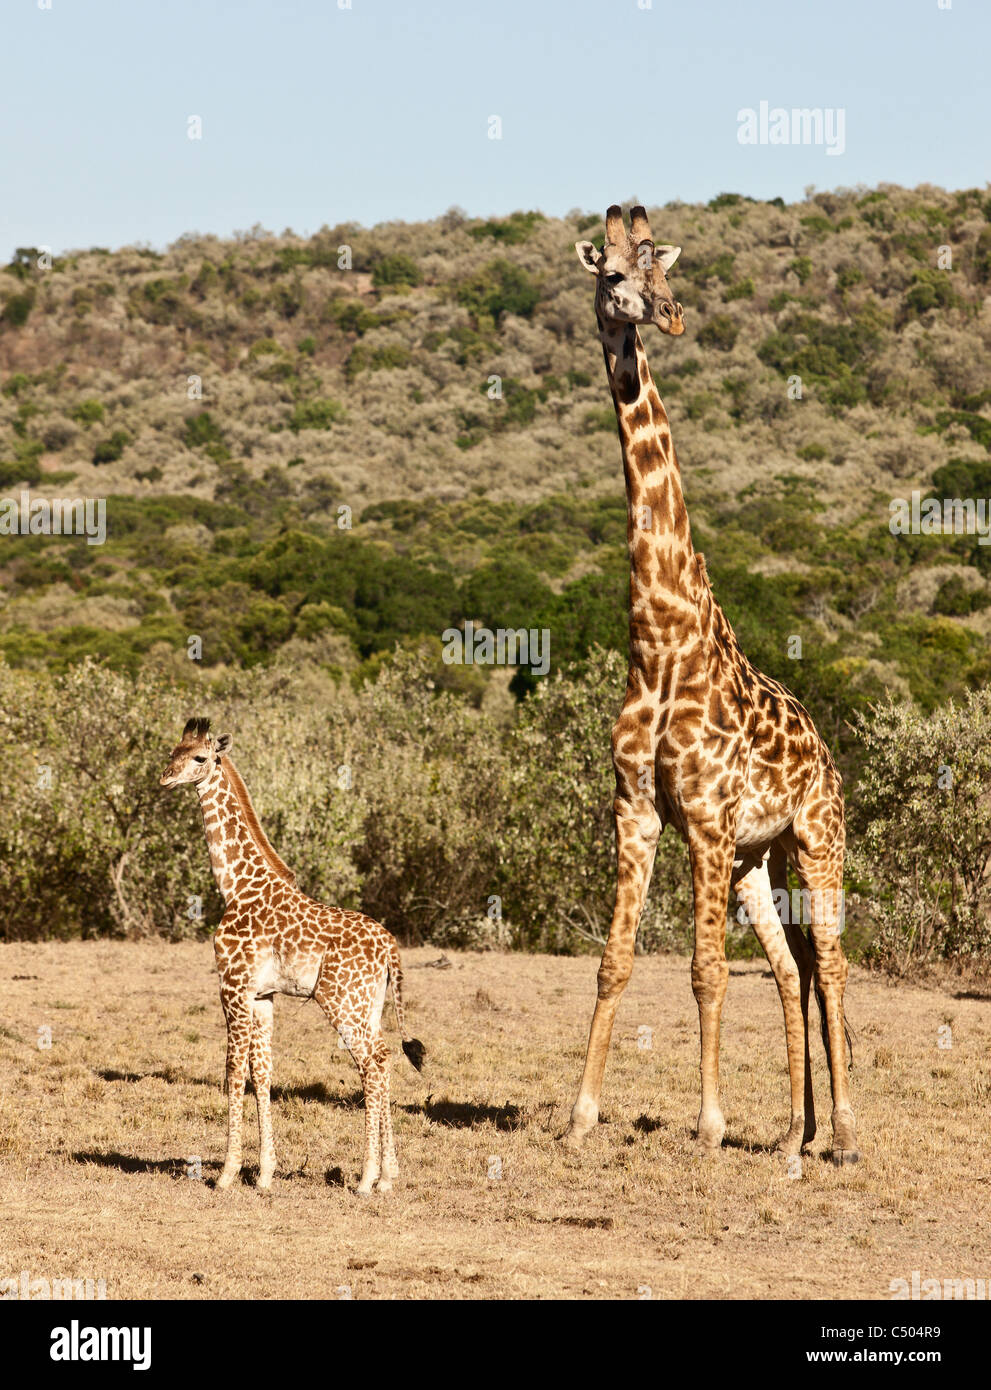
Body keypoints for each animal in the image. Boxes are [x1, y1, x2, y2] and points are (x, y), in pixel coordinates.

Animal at [160, 717, 422, 1195]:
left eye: (200, 757)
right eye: (172, 751)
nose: (165, 778)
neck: (235, 886)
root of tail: (390, 946)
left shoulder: (232, 987)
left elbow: (233, 1072)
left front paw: (226, 1174)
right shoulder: (263, 996)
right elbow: (262, 1073)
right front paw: (264, 1174)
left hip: (342, 1003)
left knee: (372, 1065)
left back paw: (366, 1179)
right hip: (371, 1006)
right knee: (385, 1058)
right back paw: (388, 1176)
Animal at [561, 202, 856, 1162]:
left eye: (663, 271)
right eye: (614, 274)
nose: (670, 316)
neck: (659, 640)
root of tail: (828, 752)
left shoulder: (703, 818)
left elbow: (700, 969)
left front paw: (709, 1121)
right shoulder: (639, 810)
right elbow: (614, 960)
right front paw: (581, 1115)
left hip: (816, 838)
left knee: (830, 961)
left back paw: (844, 1133)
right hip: (760, 860)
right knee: (789, 968)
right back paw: (795, 1134)